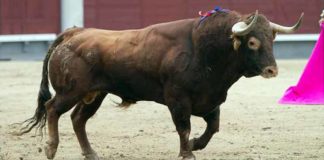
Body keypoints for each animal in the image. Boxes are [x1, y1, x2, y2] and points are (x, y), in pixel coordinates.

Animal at [20, 9, 302, 160]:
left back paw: (91, 153)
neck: (205, 50)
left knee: (78, 119)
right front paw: (187, 152)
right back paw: (51, 148)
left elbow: (213, 127)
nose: (272, 70)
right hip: (71, 90)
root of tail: (74, 33)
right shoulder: (178, 99)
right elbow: (184, 128)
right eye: (253, 42)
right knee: (52, 108)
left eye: (272, 40)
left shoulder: (212, 98)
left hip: (95, 93)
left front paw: (196, 145)